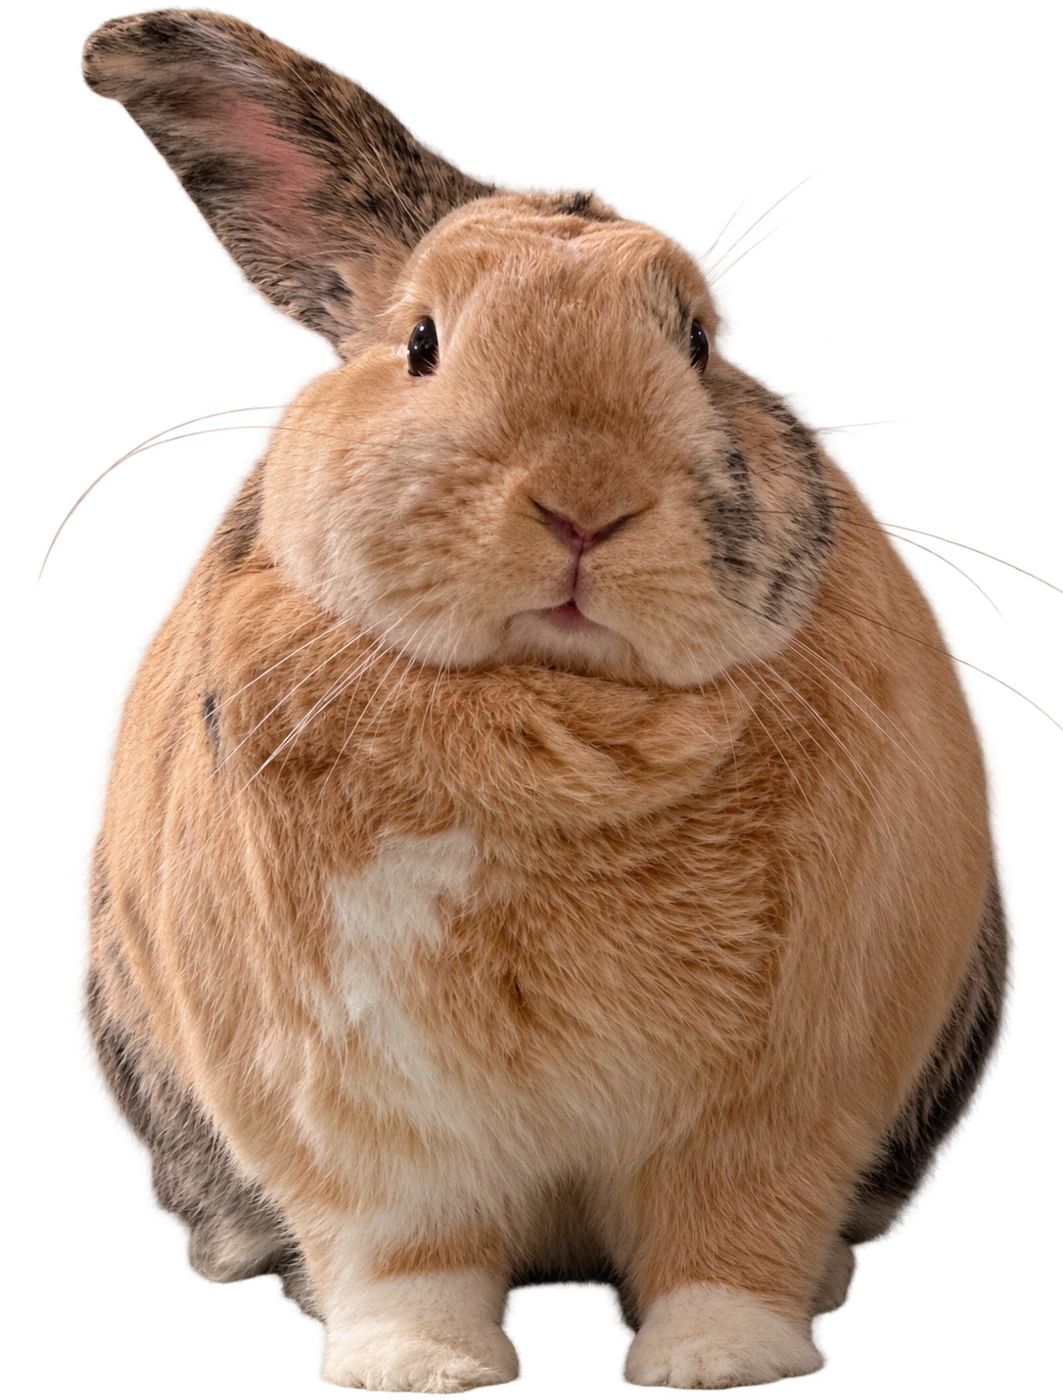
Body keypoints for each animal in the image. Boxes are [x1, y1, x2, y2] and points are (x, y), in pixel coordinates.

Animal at [71, 8, 1018, 1396]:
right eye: (421, 342)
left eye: (701, 340)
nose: (584, 503)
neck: (553, 725)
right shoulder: (361, 1136)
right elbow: (408, 1264)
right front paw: (419, 1369)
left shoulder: (780, 1114)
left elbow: (731, 1242)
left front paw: (717, 1361)